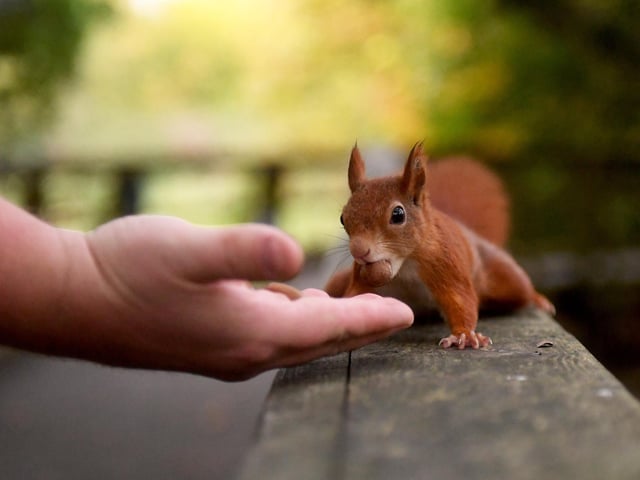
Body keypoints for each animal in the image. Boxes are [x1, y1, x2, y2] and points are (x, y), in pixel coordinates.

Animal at [325, 142, 555, 349]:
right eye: (343, 218)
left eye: (398, 215)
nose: (359, 251)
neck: (404, 265)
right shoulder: (361, 275)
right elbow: (354, 293)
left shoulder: (445, 263)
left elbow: (460, 299)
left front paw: (464, 335)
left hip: (503, 275)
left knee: (520, 286)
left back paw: (538, 299)